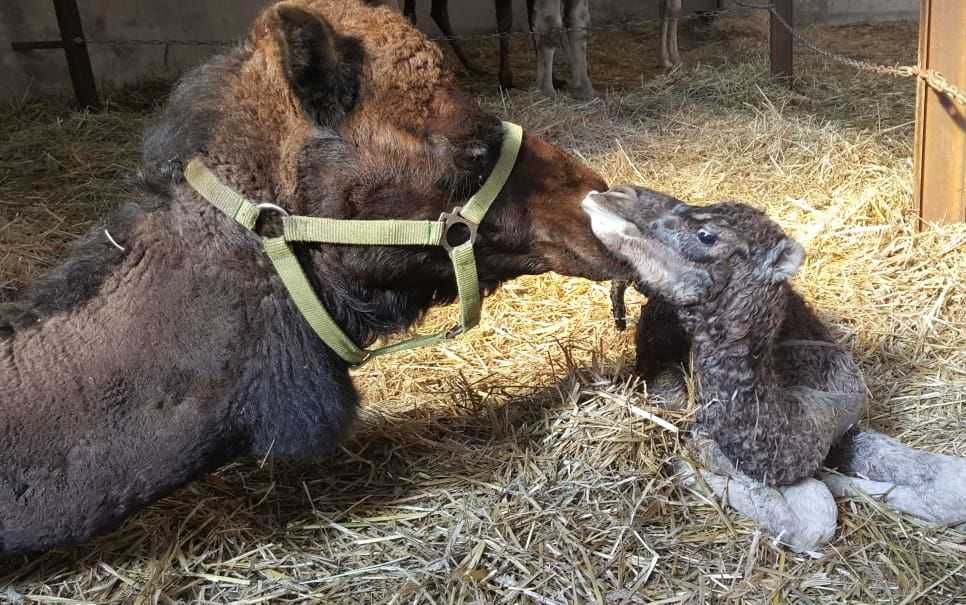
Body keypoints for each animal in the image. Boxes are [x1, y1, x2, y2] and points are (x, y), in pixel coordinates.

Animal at [588, 185, 966, 552]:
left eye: (706, 235)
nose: (613, 195)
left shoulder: (845, 422)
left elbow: (950, 482)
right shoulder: (708, 439)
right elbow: (816, 513)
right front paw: (684, 469)